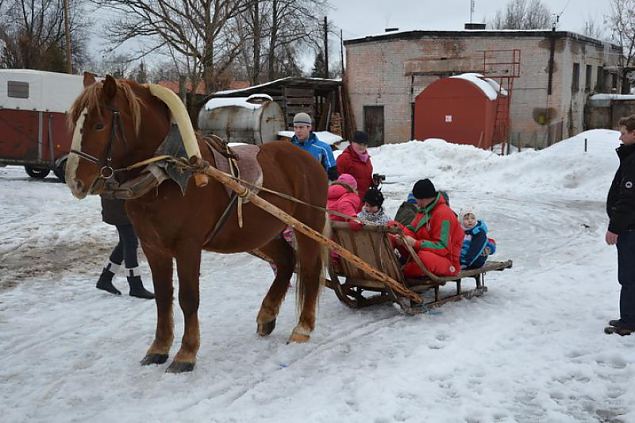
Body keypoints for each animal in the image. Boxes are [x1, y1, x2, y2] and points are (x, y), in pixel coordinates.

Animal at [67, 74, 330, 372]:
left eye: (99, 124)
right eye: (74, 121)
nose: (73, 180)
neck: (168, 171)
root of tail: (308, 159)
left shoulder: (187, 246)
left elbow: (188, 298)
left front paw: (186, 353)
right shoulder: (152, 247)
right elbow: (163, 296)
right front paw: (158, 348)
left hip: (307, 225)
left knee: (309, 270)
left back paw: (303, 327)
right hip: (262, 232)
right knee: (286, 261)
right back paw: (267, 315)